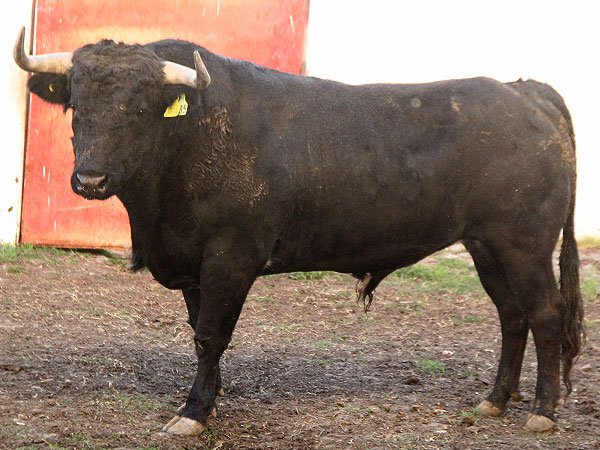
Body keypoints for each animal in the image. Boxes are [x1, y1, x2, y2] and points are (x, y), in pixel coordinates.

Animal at [14, 26, 584, 435]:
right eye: (75, 106)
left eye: (139, 109)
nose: (90, 179)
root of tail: (524, 90)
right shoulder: (195, 262)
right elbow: (201, 332)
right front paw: (210, 400)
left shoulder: (230, 254)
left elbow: (211, 333)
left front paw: (192, 412)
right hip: (486, 245)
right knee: (512, 315)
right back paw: (494, 402)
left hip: (526, 244)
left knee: (544, 314)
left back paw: (543, 411)